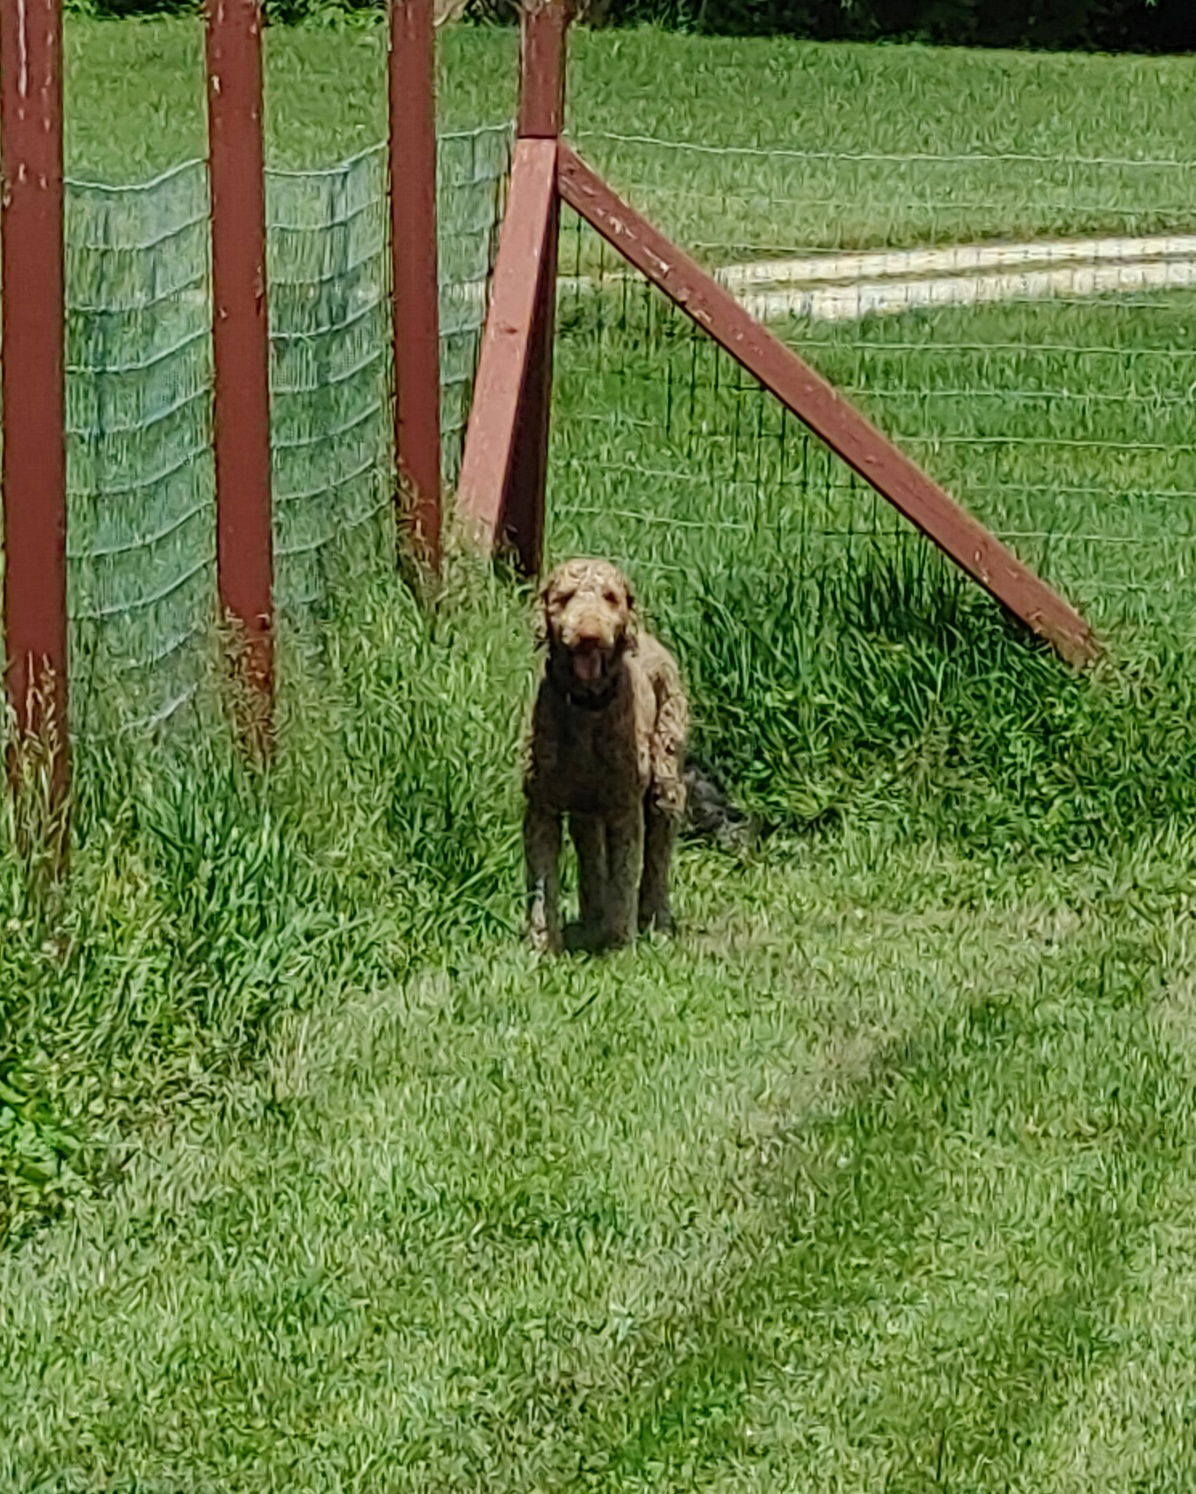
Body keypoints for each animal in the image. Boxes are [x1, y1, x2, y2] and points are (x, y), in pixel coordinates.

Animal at [525, 555, 689, 950]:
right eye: (564, 598)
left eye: (611, 598)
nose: (589, 636)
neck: (587, 709)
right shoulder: (541, 805)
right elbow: (541, 880)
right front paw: (542, 943)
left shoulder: (624, 806)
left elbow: (625, 874)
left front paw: (619, 941)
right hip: (586, 808)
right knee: (590, 852)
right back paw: (592, 919)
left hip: (665, 781)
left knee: (658, 855)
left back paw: (655, 921)